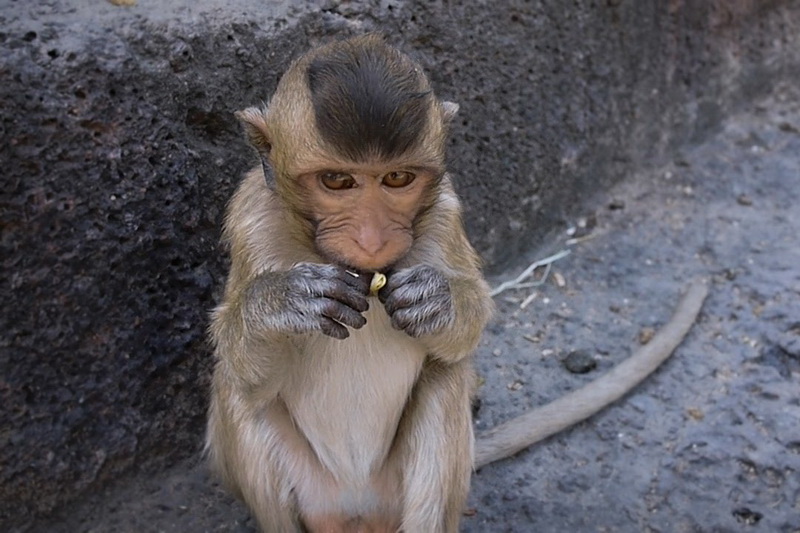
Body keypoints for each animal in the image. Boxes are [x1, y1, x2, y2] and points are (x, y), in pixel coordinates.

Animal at [208, 34, 712, 532]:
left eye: (397, 177)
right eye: (336, 180)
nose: (372, 239)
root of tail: (357, 506)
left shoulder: (444, 213)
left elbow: (464, 329)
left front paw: (438, 300)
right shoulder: (252, 219)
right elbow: (250, 375)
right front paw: (284, 303)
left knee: (445, 381)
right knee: (237, 395)